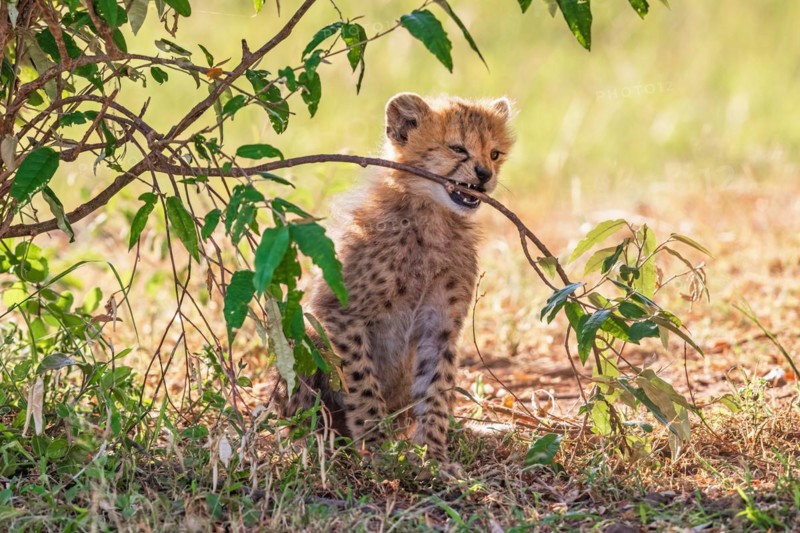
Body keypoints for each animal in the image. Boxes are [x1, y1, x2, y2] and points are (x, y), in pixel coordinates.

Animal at [277, 92, 515, 476]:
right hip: (298, 341)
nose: (484, 175)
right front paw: (377, 448)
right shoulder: (339, 312)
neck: (432, 217)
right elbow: (361, 382)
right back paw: (314, 446)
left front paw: (434, 456)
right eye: (457, 148)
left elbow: (436, 389)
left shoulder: (440, 326)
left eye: (494, 153)